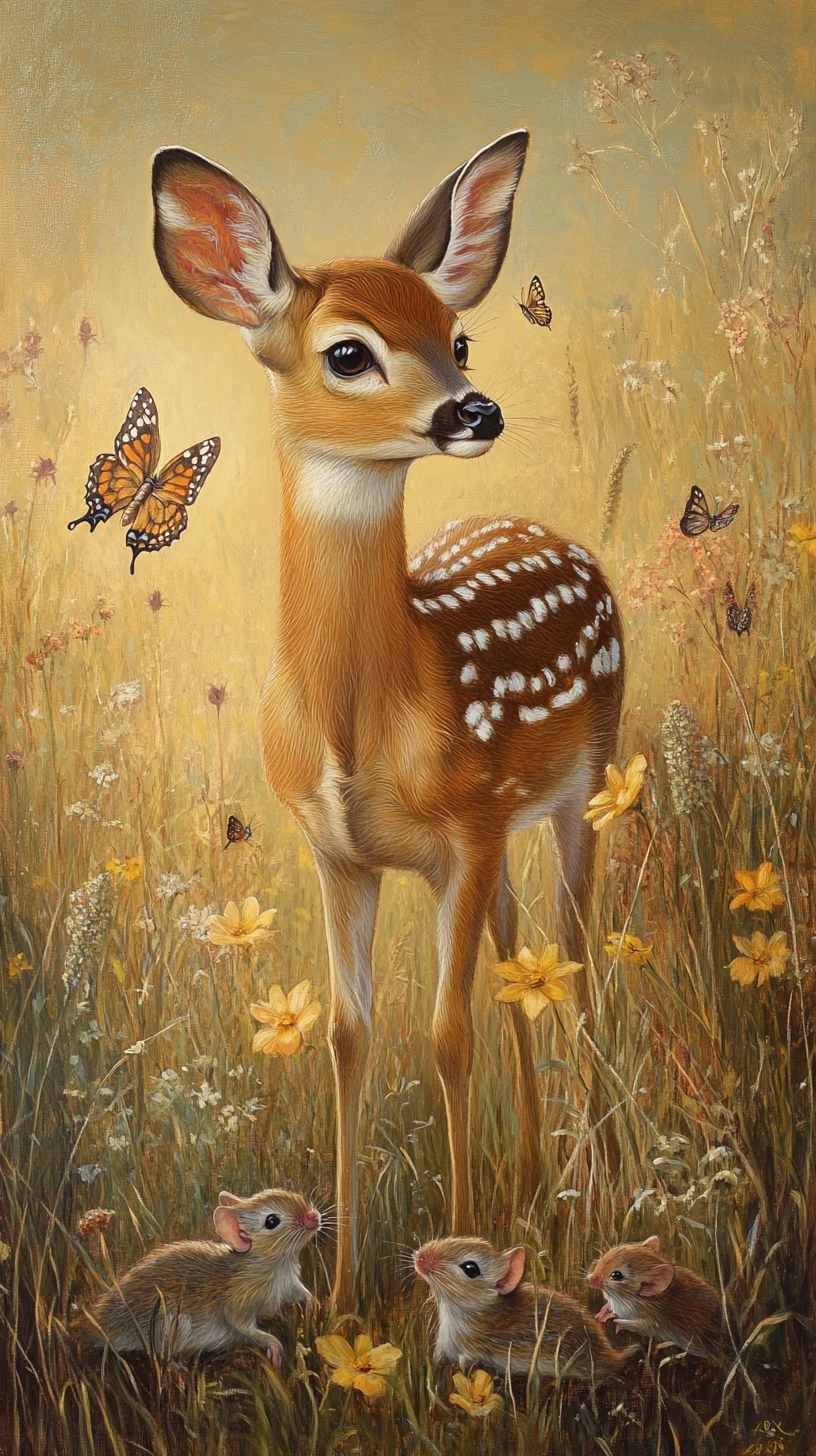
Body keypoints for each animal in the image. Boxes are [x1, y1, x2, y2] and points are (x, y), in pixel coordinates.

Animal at [151, 130, 624, 1312]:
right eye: (349, 353)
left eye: (456, 336)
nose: (474, 409)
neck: (368, 721)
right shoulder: (340, 851)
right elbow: (351, 1036)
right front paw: (342, 1283)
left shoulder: (463, 827)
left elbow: (447, 1038)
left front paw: (458, 1260)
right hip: (501, 833)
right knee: (520, 950)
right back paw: (535, 1176)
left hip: (583, 781)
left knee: (575, 946)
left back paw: (589, 1177)